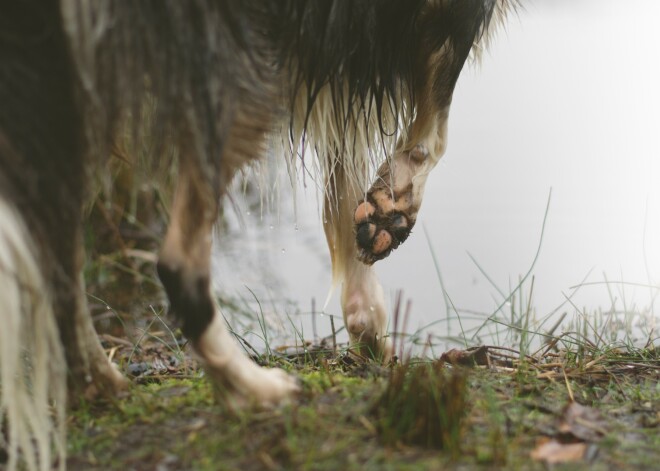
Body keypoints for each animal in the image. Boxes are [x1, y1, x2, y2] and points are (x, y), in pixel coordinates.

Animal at [0, 1, 516, 470]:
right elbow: (437, 120)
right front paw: (395, 208)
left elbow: (345, 171)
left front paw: (369, 310)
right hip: (235, 67)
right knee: (176, 262)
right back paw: (252, 389)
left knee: (57, 260)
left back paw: (99, 383)